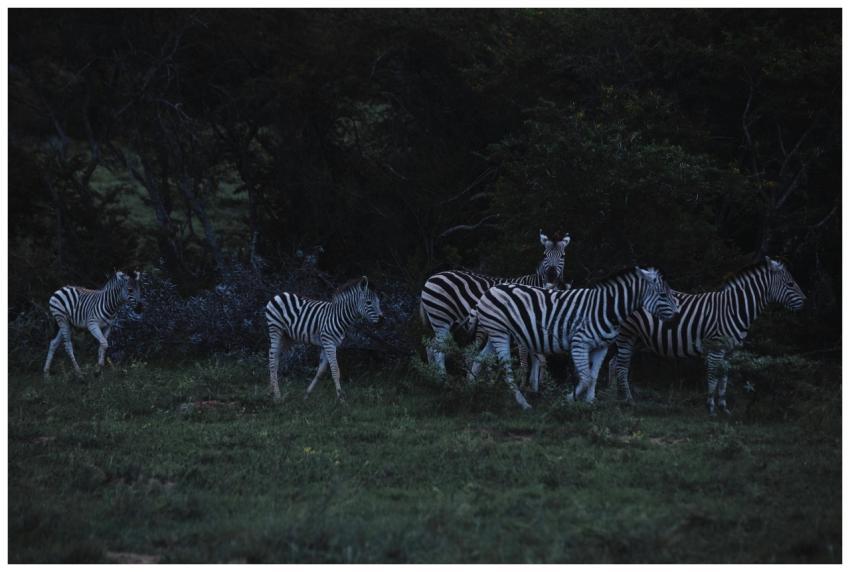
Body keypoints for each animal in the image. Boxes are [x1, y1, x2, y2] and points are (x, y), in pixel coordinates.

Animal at [419, 230, 571, 377]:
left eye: (563, 256)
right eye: (544, 255)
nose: (551, 276)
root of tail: (432, 277)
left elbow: (540, 361)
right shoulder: (522, 329)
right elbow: (526, 361)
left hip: (448, 323)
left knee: (431, 347)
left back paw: (432, 376)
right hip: (441, 318)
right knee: (439, 350)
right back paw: (442, 379)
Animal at [468, 267, 679, 409]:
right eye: (662, 295)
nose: (677, 315)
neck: (605, 308)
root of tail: (490, 291)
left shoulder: (601, 347)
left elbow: (593, 377)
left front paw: (590, 403)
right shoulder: (580, 343)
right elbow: (585, 378)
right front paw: (569, 399)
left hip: (496, 333)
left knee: (478, 360)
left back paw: (469, 389)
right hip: (499, 333)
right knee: (506, 369)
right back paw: (523, 403)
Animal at [608, 257, 806, 416]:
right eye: (790, 284)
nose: (806, 301)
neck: (734, 308)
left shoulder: (729, 351)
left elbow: (724, 378)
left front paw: (724, 408)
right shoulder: (715, 347)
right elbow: (713, 376)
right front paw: (710, 408)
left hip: (637, 339)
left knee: (613, 363)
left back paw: (613, 397)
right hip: (626, 335)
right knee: (622, 367)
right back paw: (628, 400)